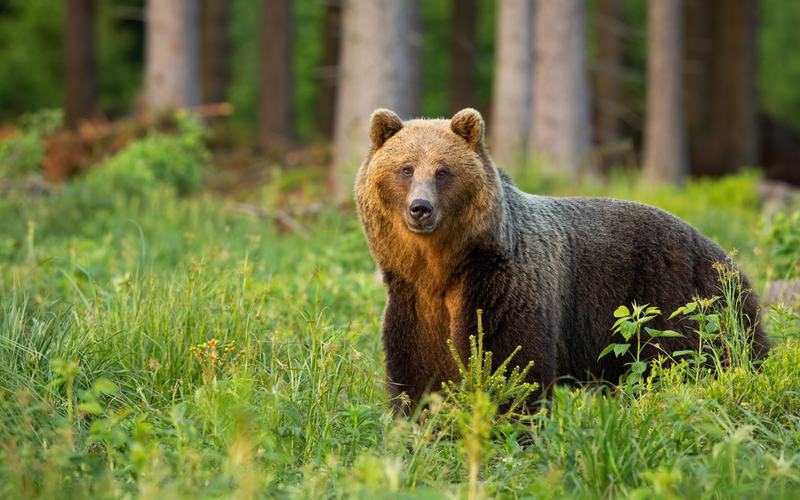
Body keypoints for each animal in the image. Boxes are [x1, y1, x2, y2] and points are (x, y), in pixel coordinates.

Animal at [355, 107, 769, 413]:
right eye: (406, 168)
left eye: (443, 171)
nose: (420, 208)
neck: (443, 268)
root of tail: (728, 261)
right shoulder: (414, 299)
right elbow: (417, 369)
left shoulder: (504, 287)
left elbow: (512, 363)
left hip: (680, 304)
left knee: (705, 360)